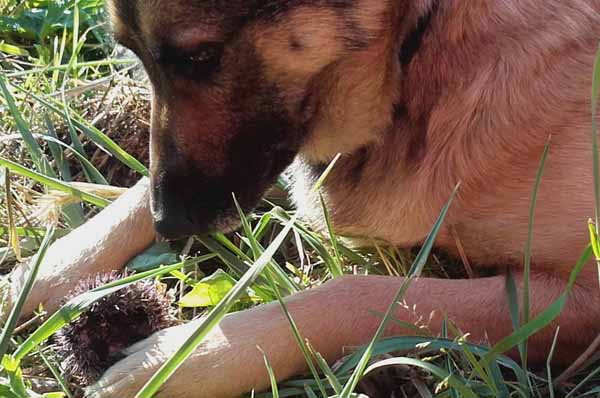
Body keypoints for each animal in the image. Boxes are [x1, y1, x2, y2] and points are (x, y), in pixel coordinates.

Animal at [18, 0, 600, 398]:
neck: (418, 47)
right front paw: (40, 274)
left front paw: (187, 356)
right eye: (133, 54)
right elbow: (140, 188)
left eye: (203, 56)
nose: (172, 225)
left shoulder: (578, 300)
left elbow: (363, 292)